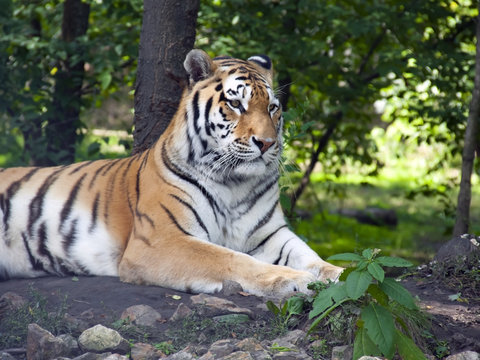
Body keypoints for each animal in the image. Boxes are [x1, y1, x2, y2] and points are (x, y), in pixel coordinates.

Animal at [0, 50, 344, 298]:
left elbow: (312, 257)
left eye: (272, 108)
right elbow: (231, 258)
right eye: (236, 103)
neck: (235, 183)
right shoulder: (161, 239)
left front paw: (338, 274)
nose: (268, 143)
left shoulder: (270, 234)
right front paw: (294, 280)